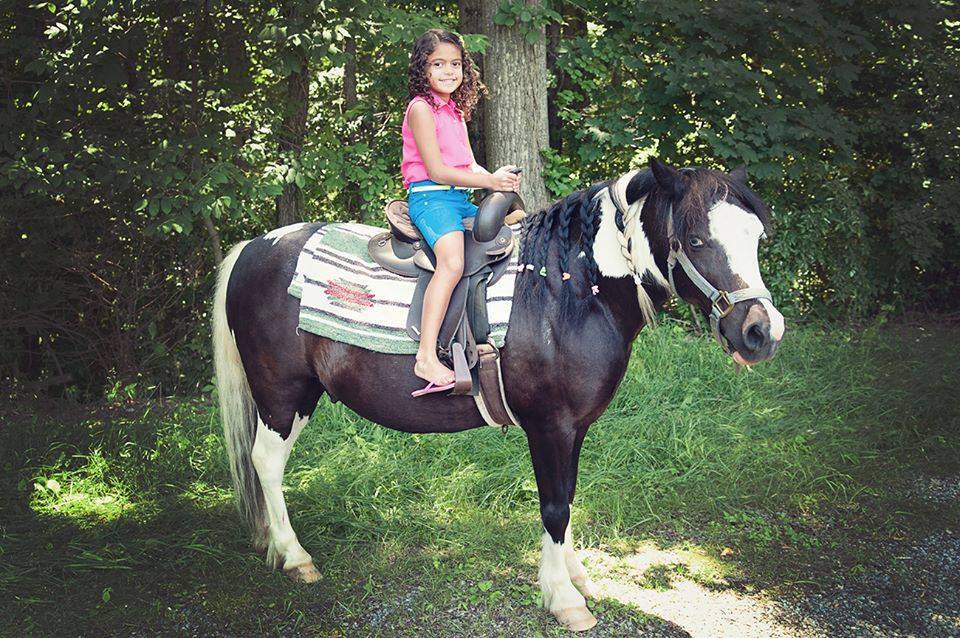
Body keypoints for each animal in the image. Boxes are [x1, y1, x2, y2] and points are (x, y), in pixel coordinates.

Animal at [211, 158, 785, 631]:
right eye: (696, 240)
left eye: (756, 237)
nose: (762, 332)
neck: (569, 288)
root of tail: (253, 248)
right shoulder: (550, 425)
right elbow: (553, 507)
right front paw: (563, 599)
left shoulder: (573, 428)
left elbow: (568, 499)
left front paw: (576, 577)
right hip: (284, 396)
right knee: (267, 463)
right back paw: (294, 556)